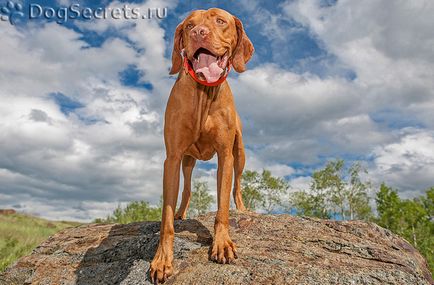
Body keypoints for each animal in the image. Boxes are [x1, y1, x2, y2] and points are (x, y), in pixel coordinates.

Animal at [149, 7, 253, 282]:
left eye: (220, 21)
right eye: (188, 26)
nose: (198, 33)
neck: (204, 95)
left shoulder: (225, 155)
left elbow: (222, 208)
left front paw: (222, 243)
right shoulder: (172, 157)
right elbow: (166, 220)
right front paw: (162, 260)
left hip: (240, 154)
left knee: (237, 185)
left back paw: (243, 209)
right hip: (187, 160)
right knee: (186, 189)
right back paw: (181, 212)